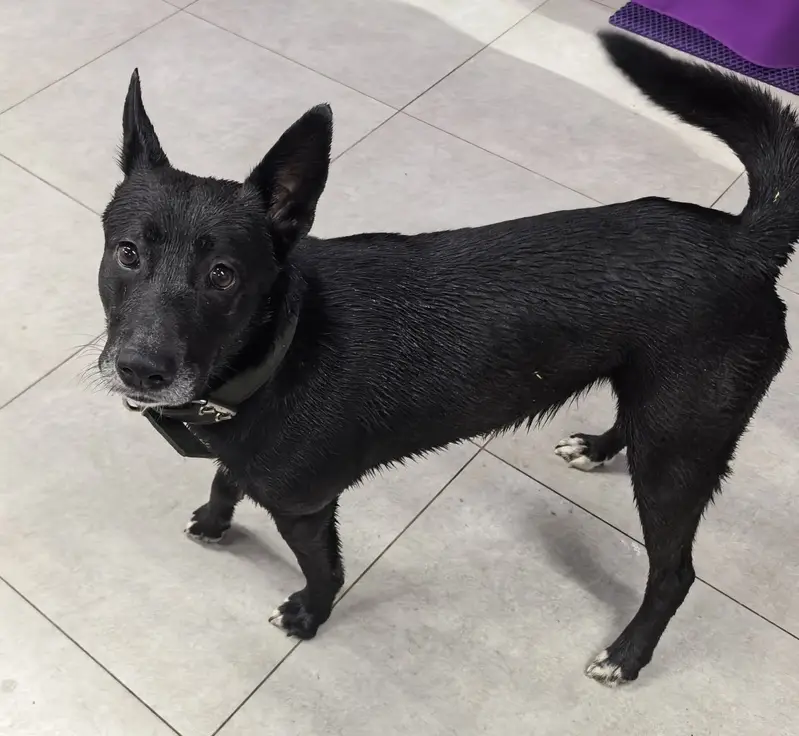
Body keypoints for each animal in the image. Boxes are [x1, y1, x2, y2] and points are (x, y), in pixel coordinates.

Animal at [96, 31, 799, 686]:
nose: (141, 370)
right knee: (633, 427)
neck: (283, 344)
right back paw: (596, 448)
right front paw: (215, 519)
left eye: (223, 275)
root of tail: (744, 244)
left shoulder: (306, 507)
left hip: (677, 454)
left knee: (674, 574)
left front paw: (309, 614)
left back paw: (628, 656)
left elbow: (325, 567)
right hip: (659, 408)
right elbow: (225, 476)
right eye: (127, 253)